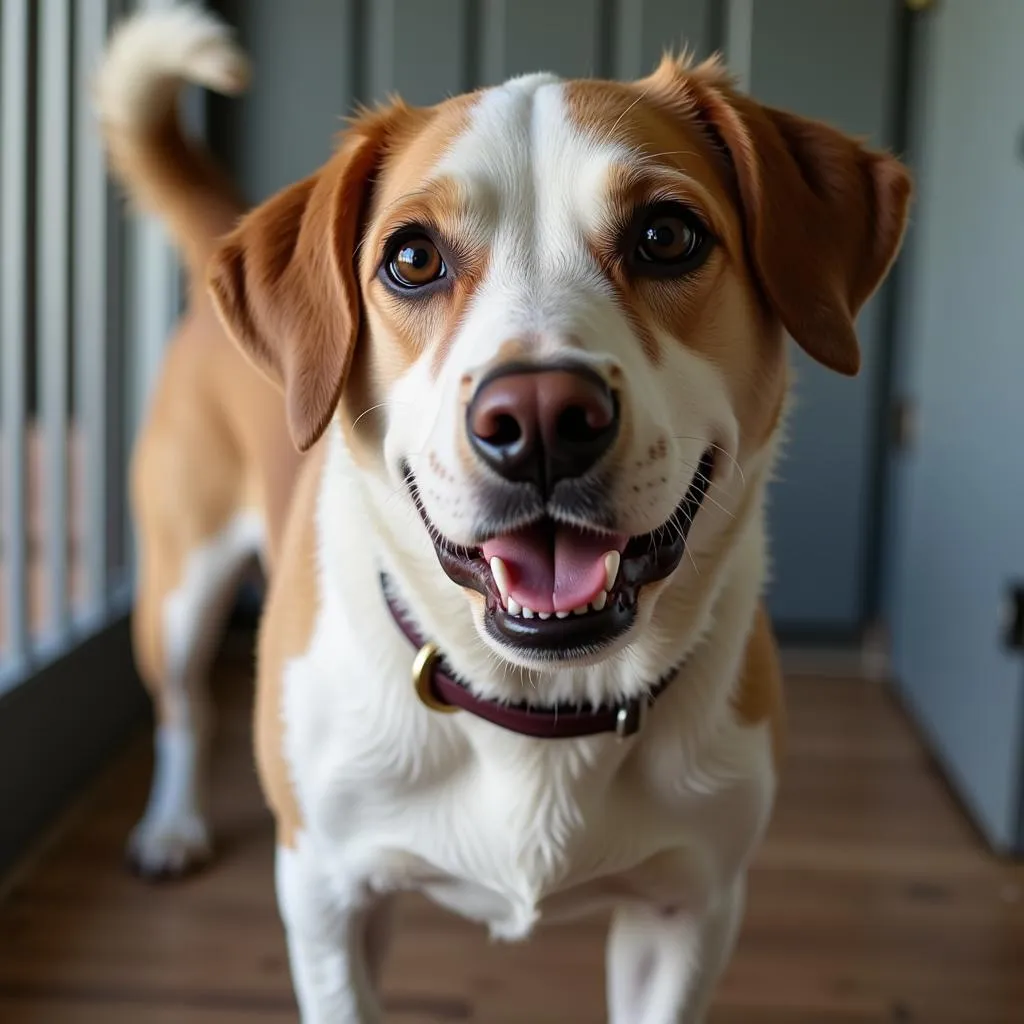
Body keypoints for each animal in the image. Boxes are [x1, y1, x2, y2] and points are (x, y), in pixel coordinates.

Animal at [96, 4, 913, 1019]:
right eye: (412, 258)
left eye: (667, 235)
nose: (539, 423)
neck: (539, 704)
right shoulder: (327, 898)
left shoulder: (688, 910)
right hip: (180, 586)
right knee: (180, 706)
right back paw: (172, 824)